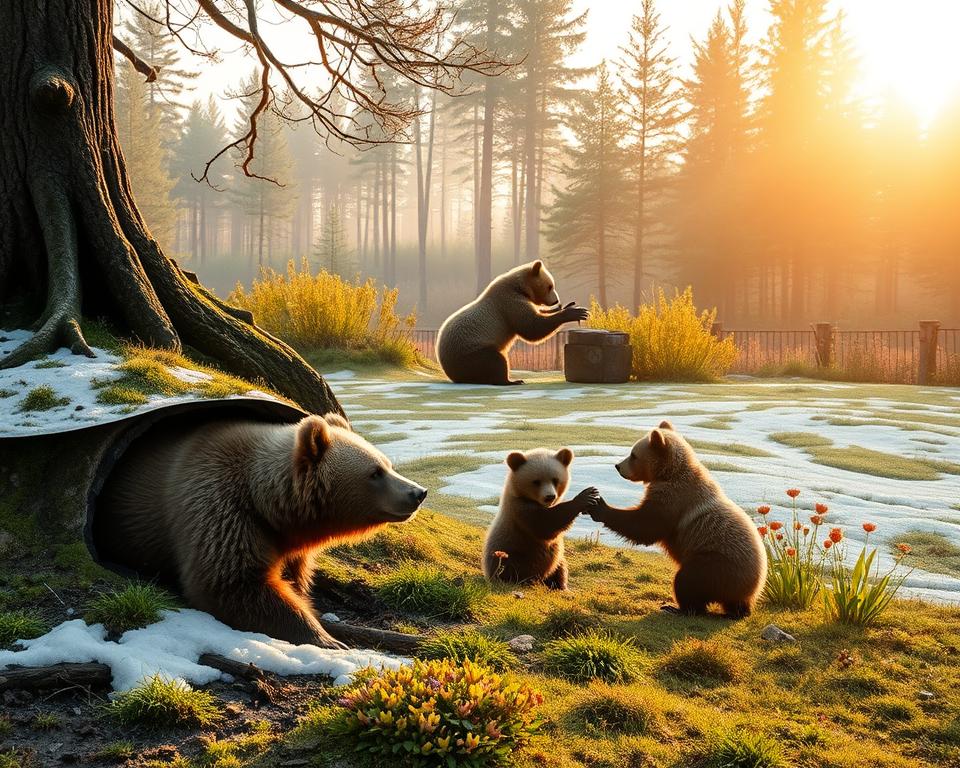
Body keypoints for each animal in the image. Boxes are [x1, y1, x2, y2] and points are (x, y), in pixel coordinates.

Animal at [93, 412, 427, 648]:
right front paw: (327, 638)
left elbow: (293, 576)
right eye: (375, 472)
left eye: (387, 464)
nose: (418, 492)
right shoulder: (219, 506)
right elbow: (232, 581)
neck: (264, 501)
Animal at [436, 260, 589, 385]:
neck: (519, 287)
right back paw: (510, 381)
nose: (556, 300)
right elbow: (531, 327)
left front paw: (565, 306)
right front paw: (575, 312)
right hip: (470, 351)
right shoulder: (509, 303)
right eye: (550, 286)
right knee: (494, 360)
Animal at [482, 447, 600, 590]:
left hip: (556, 560)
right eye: (536, 481)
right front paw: (585, 496)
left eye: (555, 480)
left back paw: (560, 586)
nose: (550, 496)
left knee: (559, 569)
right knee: (514, 570)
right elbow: (545, 524)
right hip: (511, 556)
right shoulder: (520, 510)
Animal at [589, 421, 766, 618]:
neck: (669, 473)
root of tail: (754, 587)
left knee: (689, 579)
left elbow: (647, 525)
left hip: (719, 563)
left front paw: (599, 506)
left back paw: (678, 608)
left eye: (633, 455)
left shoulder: (674, 498)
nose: (618, 466)